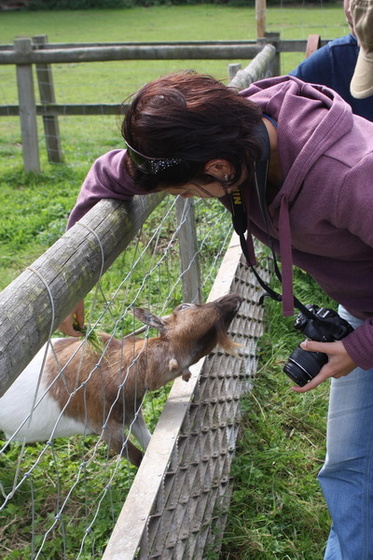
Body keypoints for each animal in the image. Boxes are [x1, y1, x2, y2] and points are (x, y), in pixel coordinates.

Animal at [0, 294, 241, 464]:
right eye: (184, 307)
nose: (233, 297)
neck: (114, 367)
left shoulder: (132, 413)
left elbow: (149, 444)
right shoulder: (105, 428)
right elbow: (138, 459)